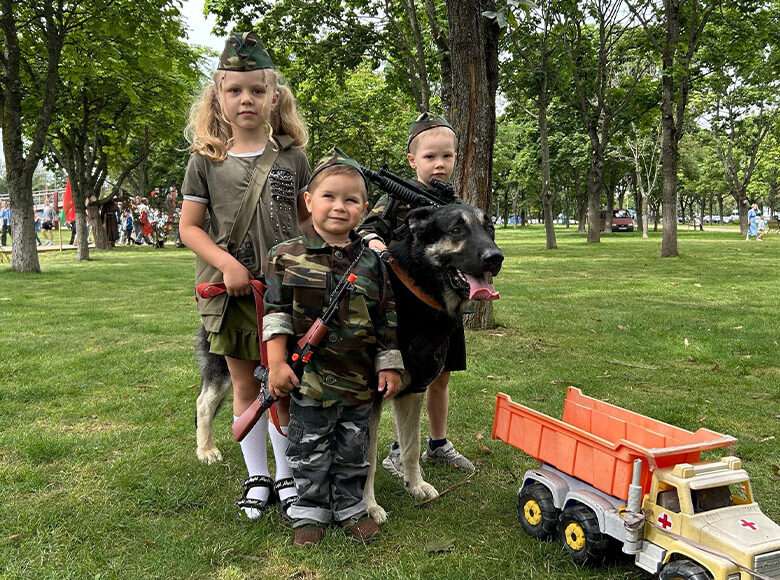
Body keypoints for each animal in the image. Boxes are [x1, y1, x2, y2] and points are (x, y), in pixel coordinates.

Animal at [192, 203, 502, 520]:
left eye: (489, 228)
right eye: (456, 229)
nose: (496, 258)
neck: (415, 286)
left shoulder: (412, 392)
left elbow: (411, 447)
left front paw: (415, 485)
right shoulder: (370, 400)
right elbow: (367, 460)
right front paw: (368, 506)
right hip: (231, 365)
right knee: (205, 403)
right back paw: (206, 451)